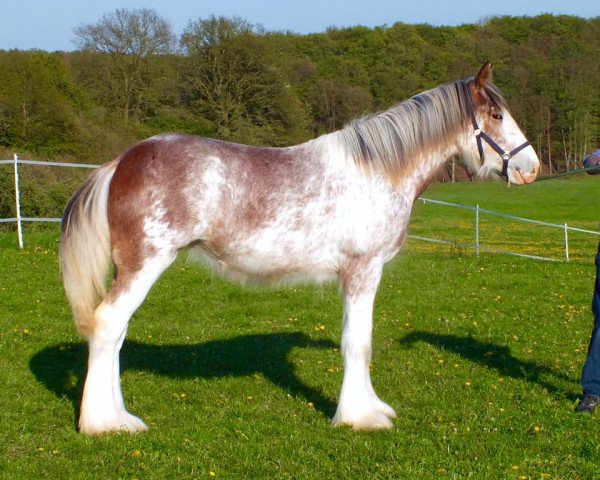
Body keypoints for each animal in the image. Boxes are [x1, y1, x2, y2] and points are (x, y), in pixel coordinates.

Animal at [59, 62, 540, 436]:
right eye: (496, 114)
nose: (532, 168)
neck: (377, 171)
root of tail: (121, 162)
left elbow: (359, 341)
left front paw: (370, 408)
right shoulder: (362, 271)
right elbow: (357, 342)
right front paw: (359, 418)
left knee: (116, 333)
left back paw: (117, 415)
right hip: (145, 264)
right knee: (108, 325)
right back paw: (104, 424)